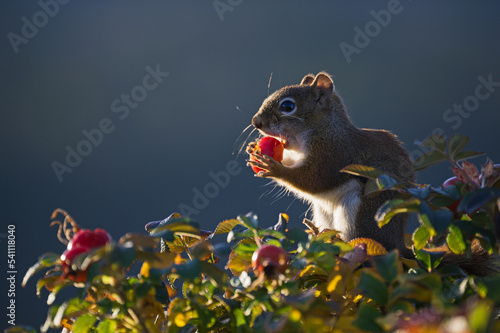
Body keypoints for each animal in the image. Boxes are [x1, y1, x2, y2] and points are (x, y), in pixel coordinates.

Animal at [248, 72, 498, 274]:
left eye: (287, 106)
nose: (256, 122)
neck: (320, 129)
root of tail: (398, 248)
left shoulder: (334, 154)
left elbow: (313, 179)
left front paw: (274, 168)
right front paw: (254, 149)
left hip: (362, 216)